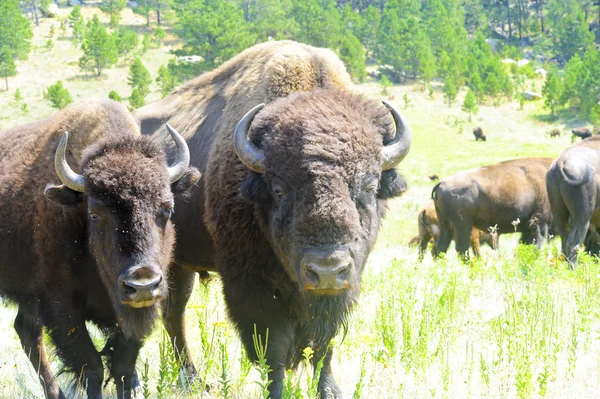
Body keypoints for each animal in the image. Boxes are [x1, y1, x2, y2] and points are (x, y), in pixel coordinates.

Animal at [0, 98, 200, 398]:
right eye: (94, 213)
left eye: (167, 207)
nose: (142, 284)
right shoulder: (62, 308)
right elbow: (91, 366)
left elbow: (122, 367)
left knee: (26, 330)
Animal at [134, 41, 410, 399]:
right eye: (279, 190)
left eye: (371, 186)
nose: (326, 270)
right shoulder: (249, 283)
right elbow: (273, 346)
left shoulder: (345, 284)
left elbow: (323, 343)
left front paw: (329, 390)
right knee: (174, 315)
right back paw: (193, 378)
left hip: (181, 265)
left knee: (174, 312)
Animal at [548, 136, 600, 268]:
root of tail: (560, 163)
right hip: (582, 217)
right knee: (573, 244)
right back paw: (575, 269)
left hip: (559, 215)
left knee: (564, 242)